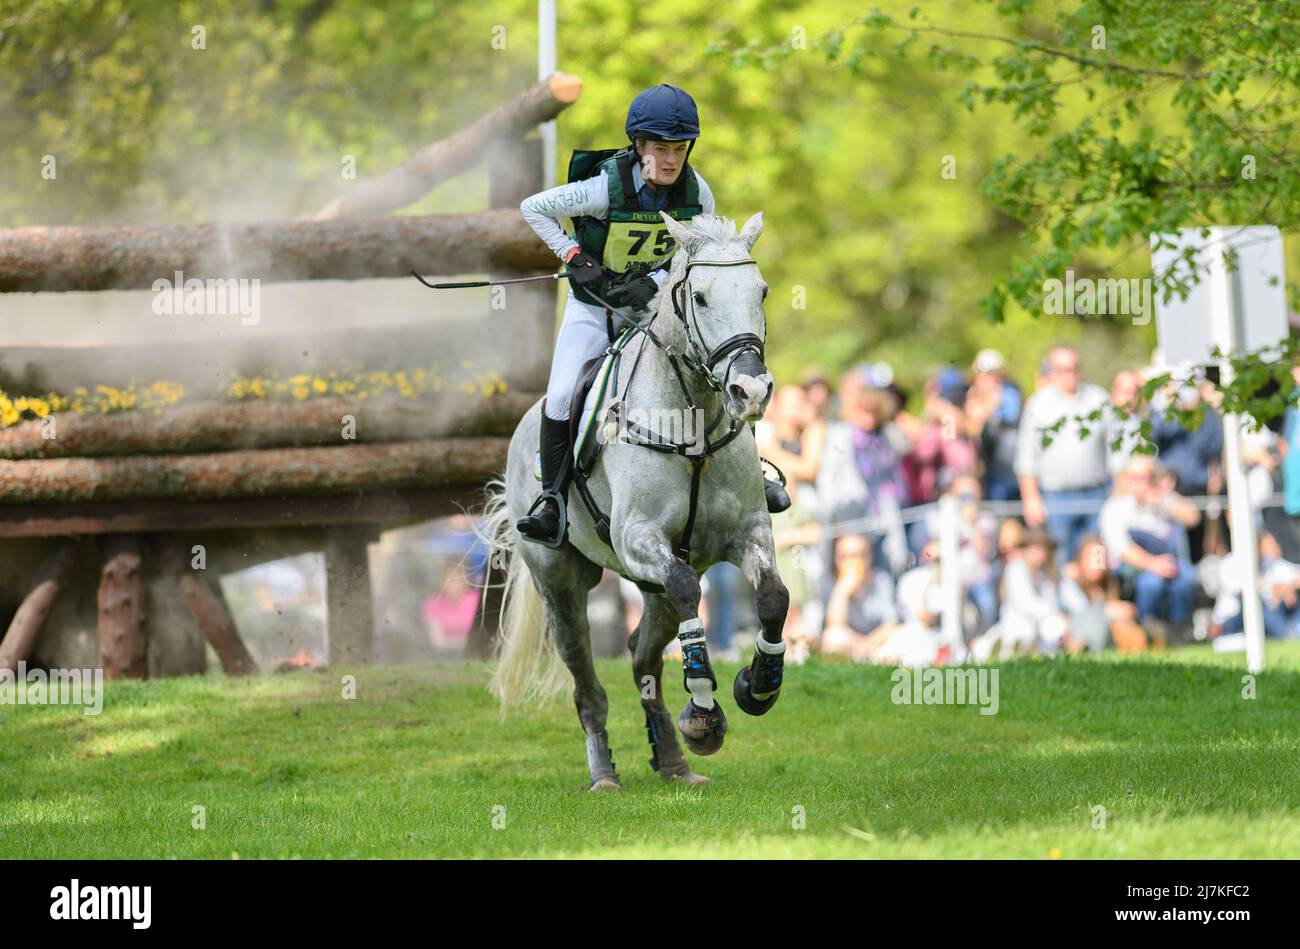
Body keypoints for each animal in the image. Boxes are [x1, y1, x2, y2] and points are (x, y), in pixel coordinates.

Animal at [483, 213, 785, 785]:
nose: (751, 392)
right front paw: (706, 711)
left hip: (651, 587)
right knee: (586, 684)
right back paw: (604, 772)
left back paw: (673, 758)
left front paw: (758, 686)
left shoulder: (747, 530)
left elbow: (773, 598)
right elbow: (690, 589)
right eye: (701, 298)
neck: (690, 425)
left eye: (761, 290)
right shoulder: (636, 536)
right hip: (561, 584)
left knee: (644, 660)